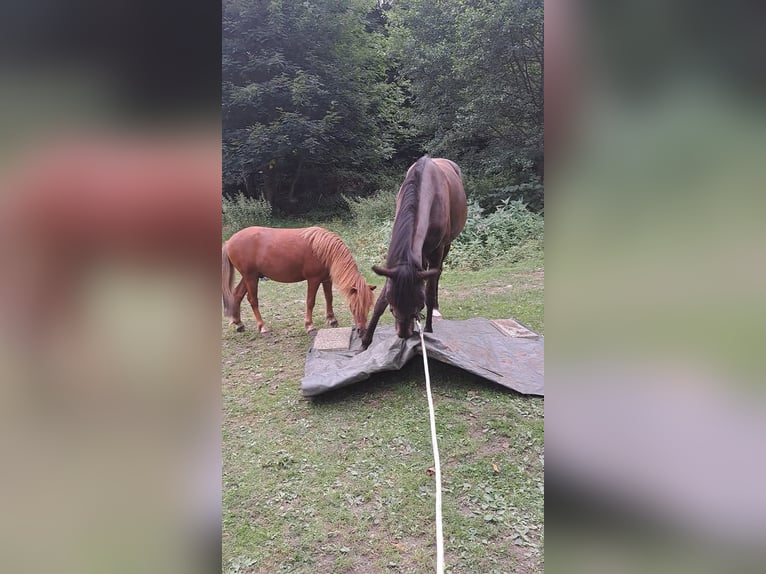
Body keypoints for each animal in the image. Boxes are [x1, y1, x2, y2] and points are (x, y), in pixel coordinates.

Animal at [221, 226, 376, 336]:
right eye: (354, 306)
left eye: (369, 306)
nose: (362, 331)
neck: (324, 250)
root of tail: (229, 242)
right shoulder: (313, 280)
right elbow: (310, 302)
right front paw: (310, 326)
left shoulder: (327, 279)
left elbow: (329, 298)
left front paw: (332, 319)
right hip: (251, 277)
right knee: (252, 300)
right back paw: (263, 327)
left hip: (249, 277)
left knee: (237, 295)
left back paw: (238, 324)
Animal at [361, 156, 467, 349]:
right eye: (392, 306)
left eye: (418, 305)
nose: (404, 334)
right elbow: (380, 301)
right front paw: (365, 342)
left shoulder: (437, 251)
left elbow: (430, 291)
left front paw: (429, 329)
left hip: (446, 246)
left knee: (437, 275)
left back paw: (436, 308)